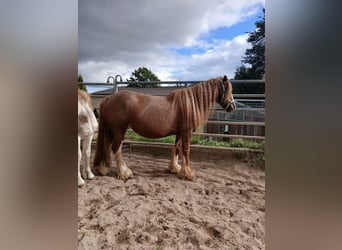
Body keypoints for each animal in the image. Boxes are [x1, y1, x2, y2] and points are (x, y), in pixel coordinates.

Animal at [93, 75, 235, 181]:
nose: (233, 107)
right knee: (116, 148)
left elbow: (176, 150)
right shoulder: (186, 133)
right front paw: (188, 174)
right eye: (228, 89)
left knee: (107, 146)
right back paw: (124, 173)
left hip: (111, 130)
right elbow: (186, 151)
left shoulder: (179, 133)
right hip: (119, 130)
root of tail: (108, 98)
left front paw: (175, 169)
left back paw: (103, 168)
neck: (190, 104)